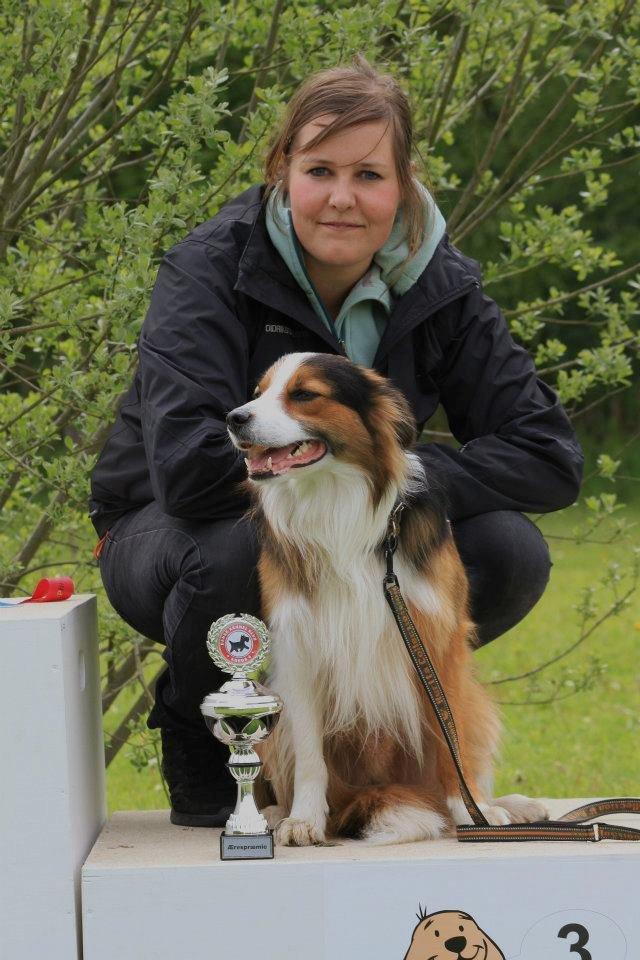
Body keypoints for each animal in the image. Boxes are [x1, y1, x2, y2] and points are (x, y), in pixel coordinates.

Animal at [225, 354, 544, 848]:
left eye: (304, 395)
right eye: (257, 392)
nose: (234, 418)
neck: (336, 505)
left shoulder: (436, 639)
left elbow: (448, 739)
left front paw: (470, 812)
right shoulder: (297, 646)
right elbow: (310, 754)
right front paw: (304, 818)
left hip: (474, 703)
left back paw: (505, 806)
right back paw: (277, 812)